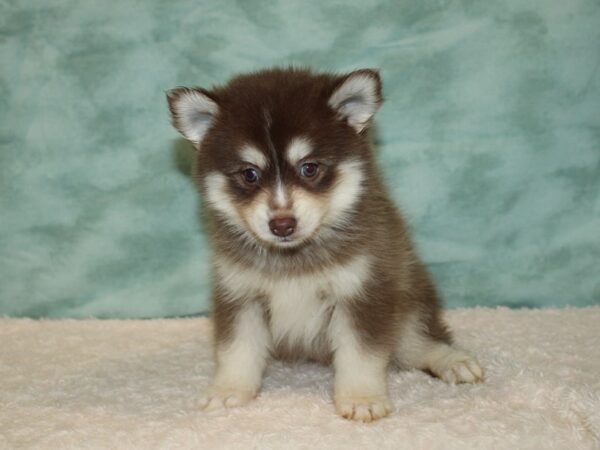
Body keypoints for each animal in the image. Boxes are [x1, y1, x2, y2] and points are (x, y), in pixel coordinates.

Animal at [166, 67, 486, 422]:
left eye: (310, 168)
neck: (293, 259)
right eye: (249, 174)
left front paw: (361, 398)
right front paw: (228, 390)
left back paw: (453, 361)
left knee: (418, 341)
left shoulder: (363, 291)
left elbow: (360, 354)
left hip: (407, 302)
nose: (282, 224)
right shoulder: (241, 295)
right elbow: (237, 350)